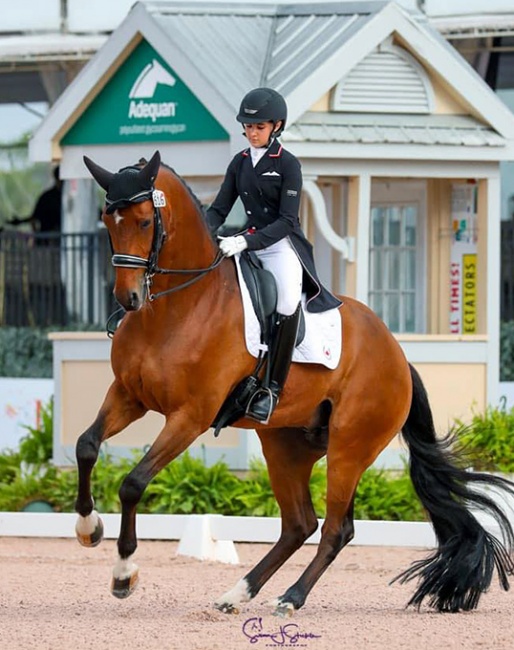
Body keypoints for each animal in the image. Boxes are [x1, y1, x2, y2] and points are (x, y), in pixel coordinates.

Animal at [75, 151, 512, 612]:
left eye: (144, 221)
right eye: (108, 220)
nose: (129, 300)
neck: (179, 307)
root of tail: (398, 355)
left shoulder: (189, 417)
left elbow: (133, 482)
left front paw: (124, 573)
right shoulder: (128, 396)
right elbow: (86, 445)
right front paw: (89, 528)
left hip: (349, 449)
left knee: (336, 528)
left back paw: (291, 597)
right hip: (284, 444)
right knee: (299, 523)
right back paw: (238, 592)